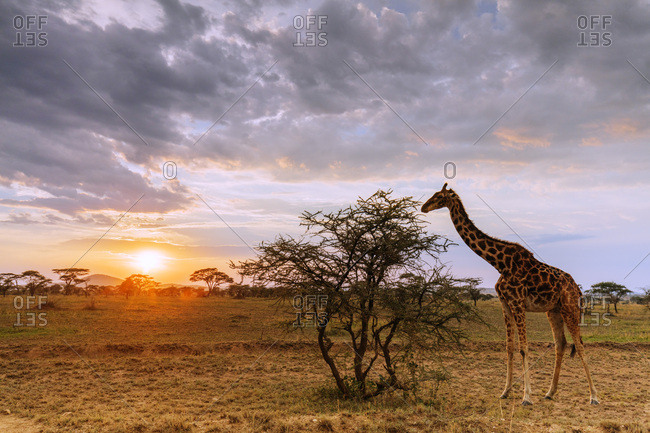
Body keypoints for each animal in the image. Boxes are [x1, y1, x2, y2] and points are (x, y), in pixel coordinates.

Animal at [421, 183, 598, 406]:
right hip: (553, 311)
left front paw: (526, 396)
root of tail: (577, 288)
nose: (423, 207)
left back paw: (593, 396)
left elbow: (524, 348)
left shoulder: (517, 303)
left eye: (438, 196)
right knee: (561, 343)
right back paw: (550, 392)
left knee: (580, 345)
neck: (500, 263)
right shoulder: (505, 304)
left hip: (569, 307)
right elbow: (509, 347)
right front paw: (505, 391)